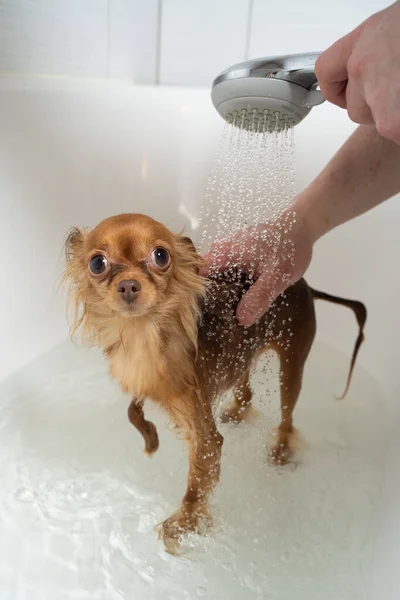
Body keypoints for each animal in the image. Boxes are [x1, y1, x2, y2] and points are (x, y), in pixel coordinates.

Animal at [64, 214, 368, 552]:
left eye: (161, 256)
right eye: (97, 263)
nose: (128, 284)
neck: (144, 335)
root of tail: (306, 285)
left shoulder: (204, 433)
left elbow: (197, 483)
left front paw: (182, 525)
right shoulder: (144, 385)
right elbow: (133, 411)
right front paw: (149, 438)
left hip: (291, 364)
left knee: (287, 416)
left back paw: (280, 452)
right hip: (242, 355)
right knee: (246, 389)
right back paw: (238, 412)